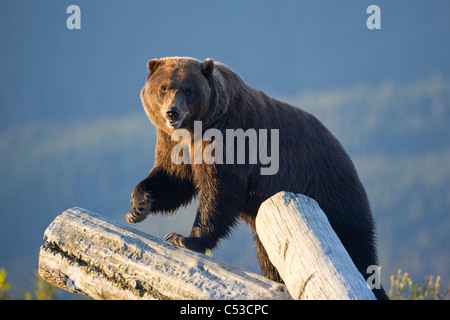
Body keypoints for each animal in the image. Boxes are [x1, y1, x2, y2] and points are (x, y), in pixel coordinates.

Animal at [125, 56, 386, 298]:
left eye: (188, 89)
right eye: (164, 87)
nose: (172, 111)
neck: (196, 128)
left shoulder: (231, 137)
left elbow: (219, 190)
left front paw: (184, 238)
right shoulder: (173, 143)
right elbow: (171, 177)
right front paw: (138, 208)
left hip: (333, 196)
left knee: (357, 252)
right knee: (271, 258)